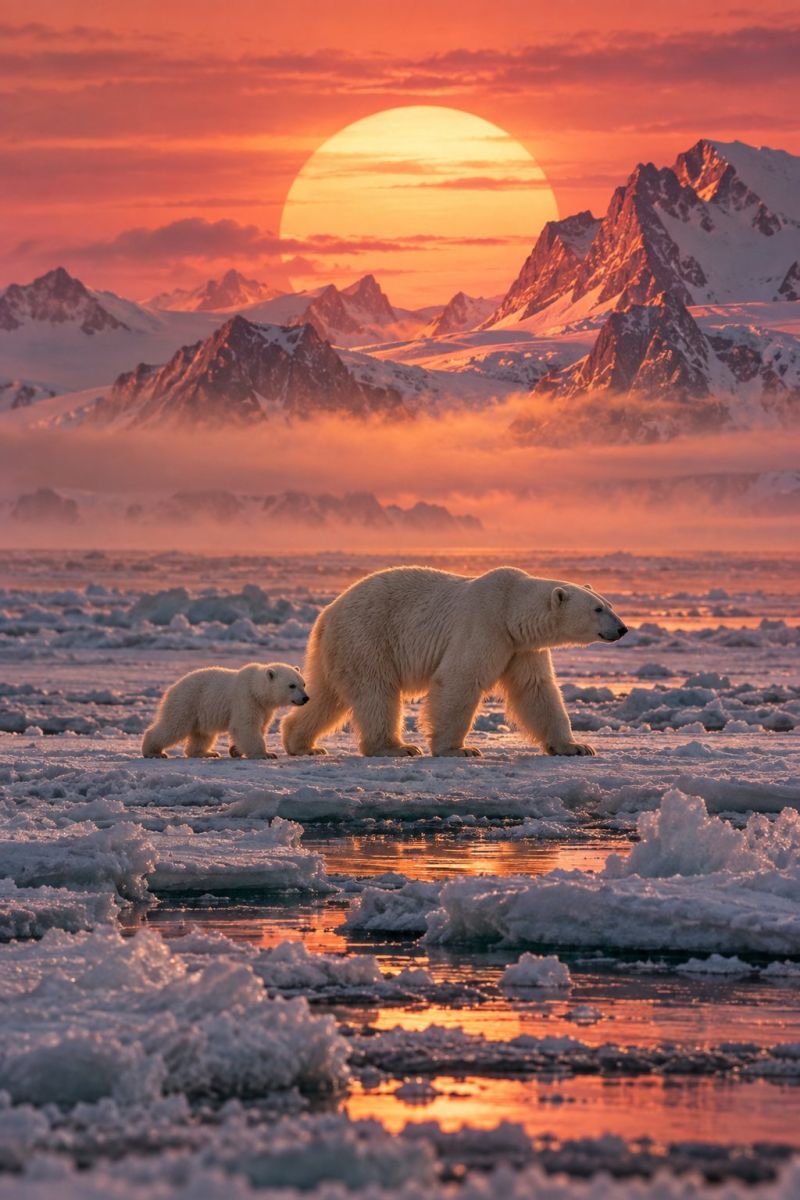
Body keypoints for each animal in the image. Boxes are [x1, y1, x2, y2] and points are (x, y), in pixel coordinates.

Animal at [142, 662, 308, 760]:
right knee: (173, 727)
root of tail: (172, 687)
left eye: (303, 683)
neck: (256, 689)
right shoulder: (245, 699)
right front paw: (266, 754)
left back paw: (206, 752)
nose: (305, 698)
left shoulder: (264, 708)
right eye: (292, 685)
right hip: (187, 702)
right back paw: (153, 752)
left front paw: (235, 750)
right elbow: (246, 726)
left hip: (200, 711)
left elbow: (260, 726)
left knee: (202, 734)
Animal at [281, 566, 627, 758]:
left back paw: (302, 743)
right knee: (376, 692)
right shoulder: (485, 625)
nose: (622, 629)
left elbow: (537, 690)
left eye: (609, 604)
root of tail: (326, 615)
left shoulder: (520, 648)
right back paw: (396, 747)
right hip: (367, 637)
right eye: (597, 609)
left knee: (326, 696)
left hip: (337, 651)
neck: (510, 609)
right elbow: (461, 679)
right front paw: (459, 749)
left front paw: (576, 746)